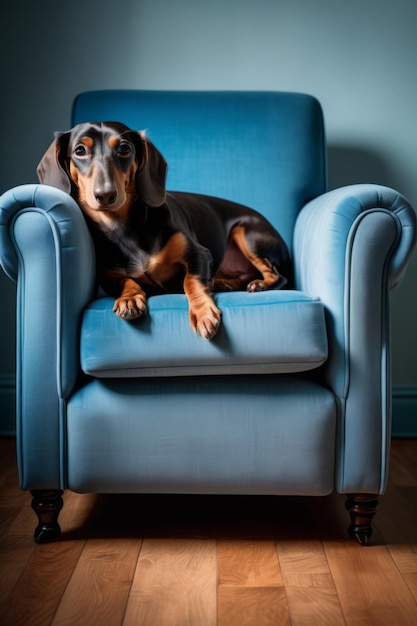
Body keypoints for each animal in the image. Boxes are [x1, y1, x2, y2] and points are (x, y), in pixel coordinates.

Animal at [37, 120, 290, 338]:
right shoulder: (108, 277)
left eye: (124, 148)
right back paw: (222, 282)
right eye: (80, 151)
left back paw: (259, 284)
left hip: (246, 233)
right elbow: (126, 281)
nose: (105, 194)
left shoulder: (199, 254)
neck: (123, 226)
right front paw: (129, 299)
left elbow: (191, 281)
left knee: (278, 277)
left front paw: (203, 312)